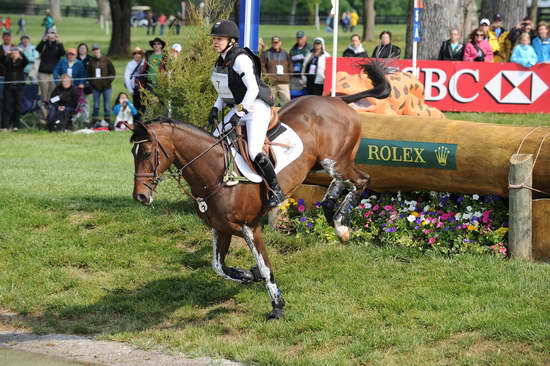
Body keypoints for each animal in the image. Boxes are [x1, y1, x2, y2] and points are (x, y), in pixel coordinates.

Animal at [129, 61, 392, 318]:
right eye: (133, 152)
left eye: (147, 153)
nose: (140, 196)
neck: (216, 173)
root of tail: (336, 100)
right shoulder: (220, 228)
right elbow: (219, 267)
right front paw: (249, 275)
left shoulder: (250, 228)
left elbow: (265, 267)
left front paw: (277, 306)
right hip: (324, 163)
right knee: (340, 182)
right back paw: (331, 212)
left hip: (334, 160)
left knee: (362, 180)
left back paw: (341, 225)